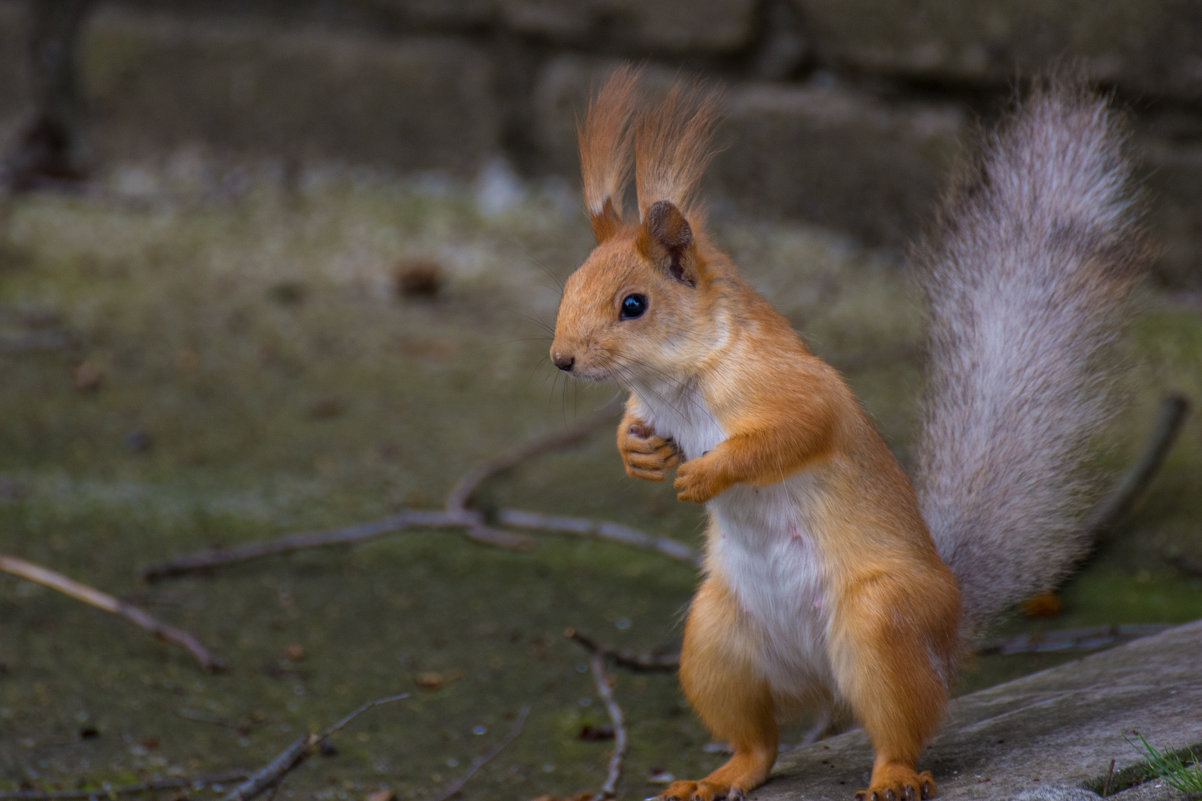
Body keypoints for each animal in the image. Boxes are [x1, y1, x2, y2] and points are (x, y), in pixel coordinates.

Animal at [550, 67, 1149, 798]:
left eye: (633, 305)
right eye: (570, 283)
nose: (561, 358)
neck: (681, 380)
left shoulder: (794, 389)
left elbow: (789, 434)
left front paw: (707, 471)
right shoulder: (653, 402)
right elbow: (633, 426)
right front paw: (638, 451)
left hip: (880, 626)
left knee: (900, 726)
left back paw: (893, 774)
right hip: (716, 641)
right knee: (759, 742)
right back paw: (718, 776)